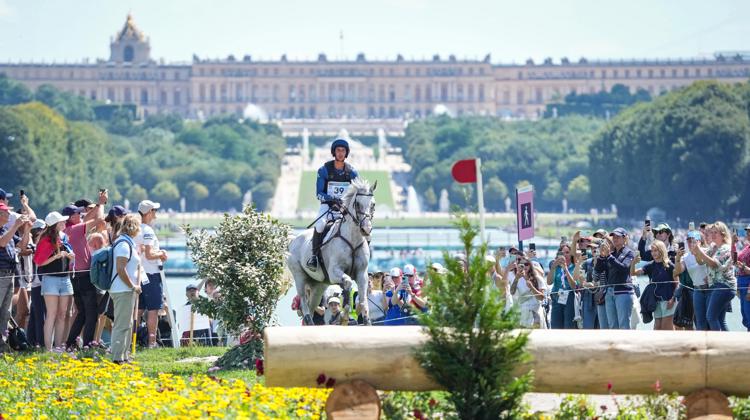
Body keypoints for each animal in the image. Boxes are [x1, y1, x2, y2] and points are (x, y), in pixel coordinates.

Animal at [288, 177, 376, 324]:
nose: (366, 229)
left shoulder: (361, 274)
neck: (352, 240)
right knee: (304, 304)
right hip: (299, 277)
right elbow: (347, 283)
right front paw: (345, 310)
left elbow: (363, 301)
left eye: (373, 205)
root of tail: (294, 240)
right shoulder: (334, 272)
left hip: (318, 285)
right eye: (357, 204)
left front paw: (365, 319)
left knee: (312, 306)